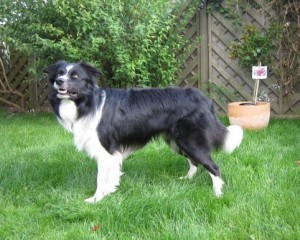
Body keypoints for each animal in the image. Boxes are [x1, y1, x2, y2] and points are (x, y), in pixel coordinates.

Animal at [43, 60, 243, 202]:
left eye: (75, 76)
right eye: (59, 74)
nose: (59, 82)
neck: (87, 102)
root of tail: (204, 99)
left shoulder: (106, 150)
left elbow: (100, 178)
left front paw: (96, 199)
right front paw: (108, 192)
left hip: (189, 140)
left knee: (213, 166)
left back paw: (217, 194)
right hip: (177, 141)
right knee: (194, 162)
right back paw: (187, 179)